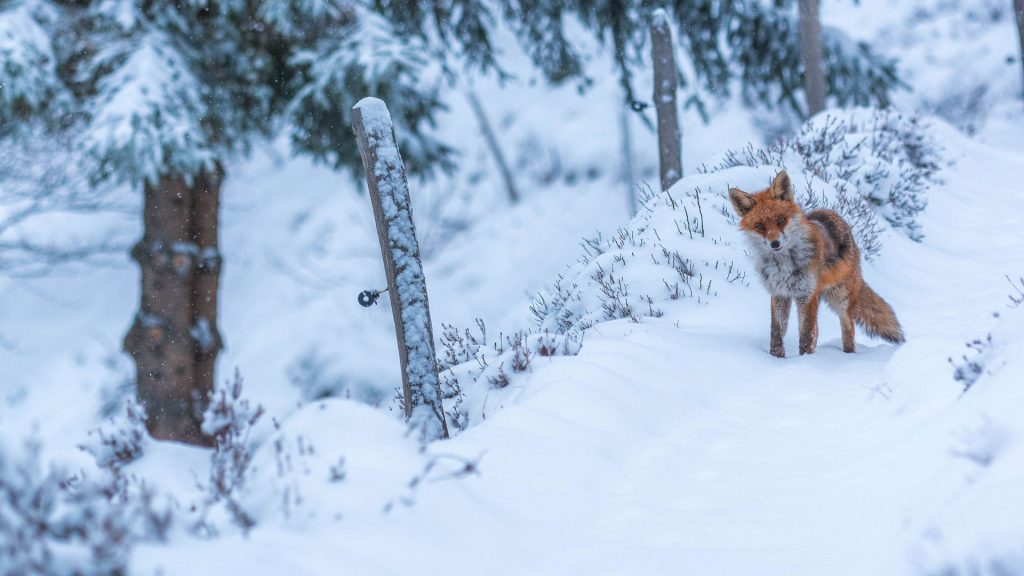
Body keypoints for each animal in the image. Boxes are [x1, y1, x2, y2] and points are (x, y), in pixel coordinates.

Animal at [729, 169, 905, 354]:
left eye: (781, 220)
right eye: (760, 226)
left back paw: (849, 355)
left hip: (841, 300)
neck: (783, 266)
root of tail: (833, 214)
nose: (775, 244)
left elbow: (806, 335)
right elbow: (776, 332)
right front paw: (776, 357)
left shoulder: (807, 295)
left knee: (848, 328)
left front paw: (805, 359)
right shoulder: (779, 294)